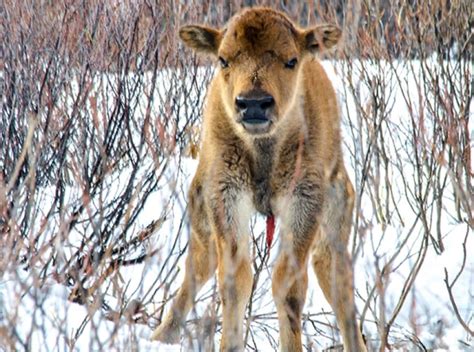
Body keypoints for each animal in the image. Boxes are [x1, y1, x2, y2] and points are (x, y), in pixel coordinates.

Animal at [152, 6, 366, 352]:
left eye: (291, 60)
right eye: (223, 59)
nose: (253, 103)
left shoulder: (304, 201)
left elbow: (288, 285)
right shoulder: (224, 196)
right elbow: (235, 280)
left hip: (335, 217)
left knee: (337, 281)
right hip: (201, 217)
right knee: (198, 267)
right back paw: (163, 336)